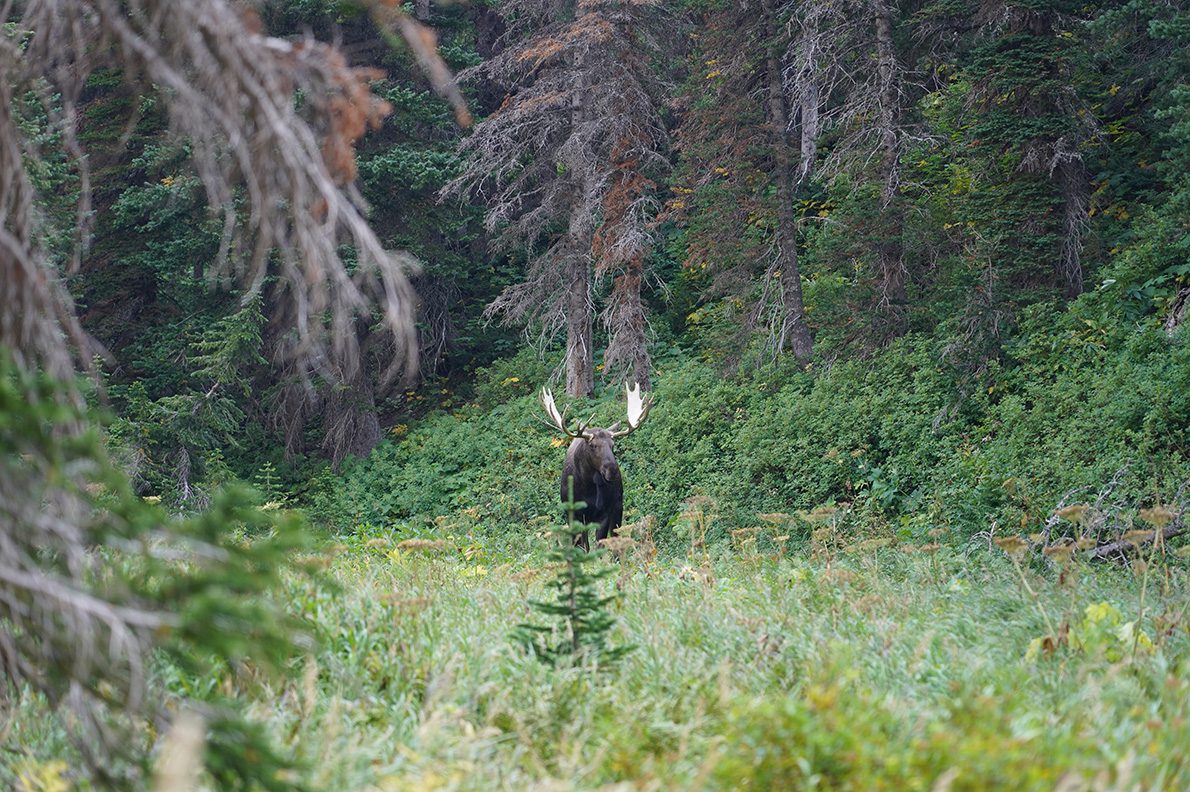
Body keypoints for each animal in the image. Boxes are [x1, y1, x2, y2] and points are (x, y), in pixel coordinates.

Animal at [539, 383, 653, 550]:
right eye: (592, 445)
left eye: (613, 444)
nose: (612, 470)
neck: (588, 487)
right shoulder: (575, 515)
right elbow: (582, 547)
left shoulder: (604, 514)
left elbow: (600, 544)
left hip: (618, 506)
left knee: (616, 537)